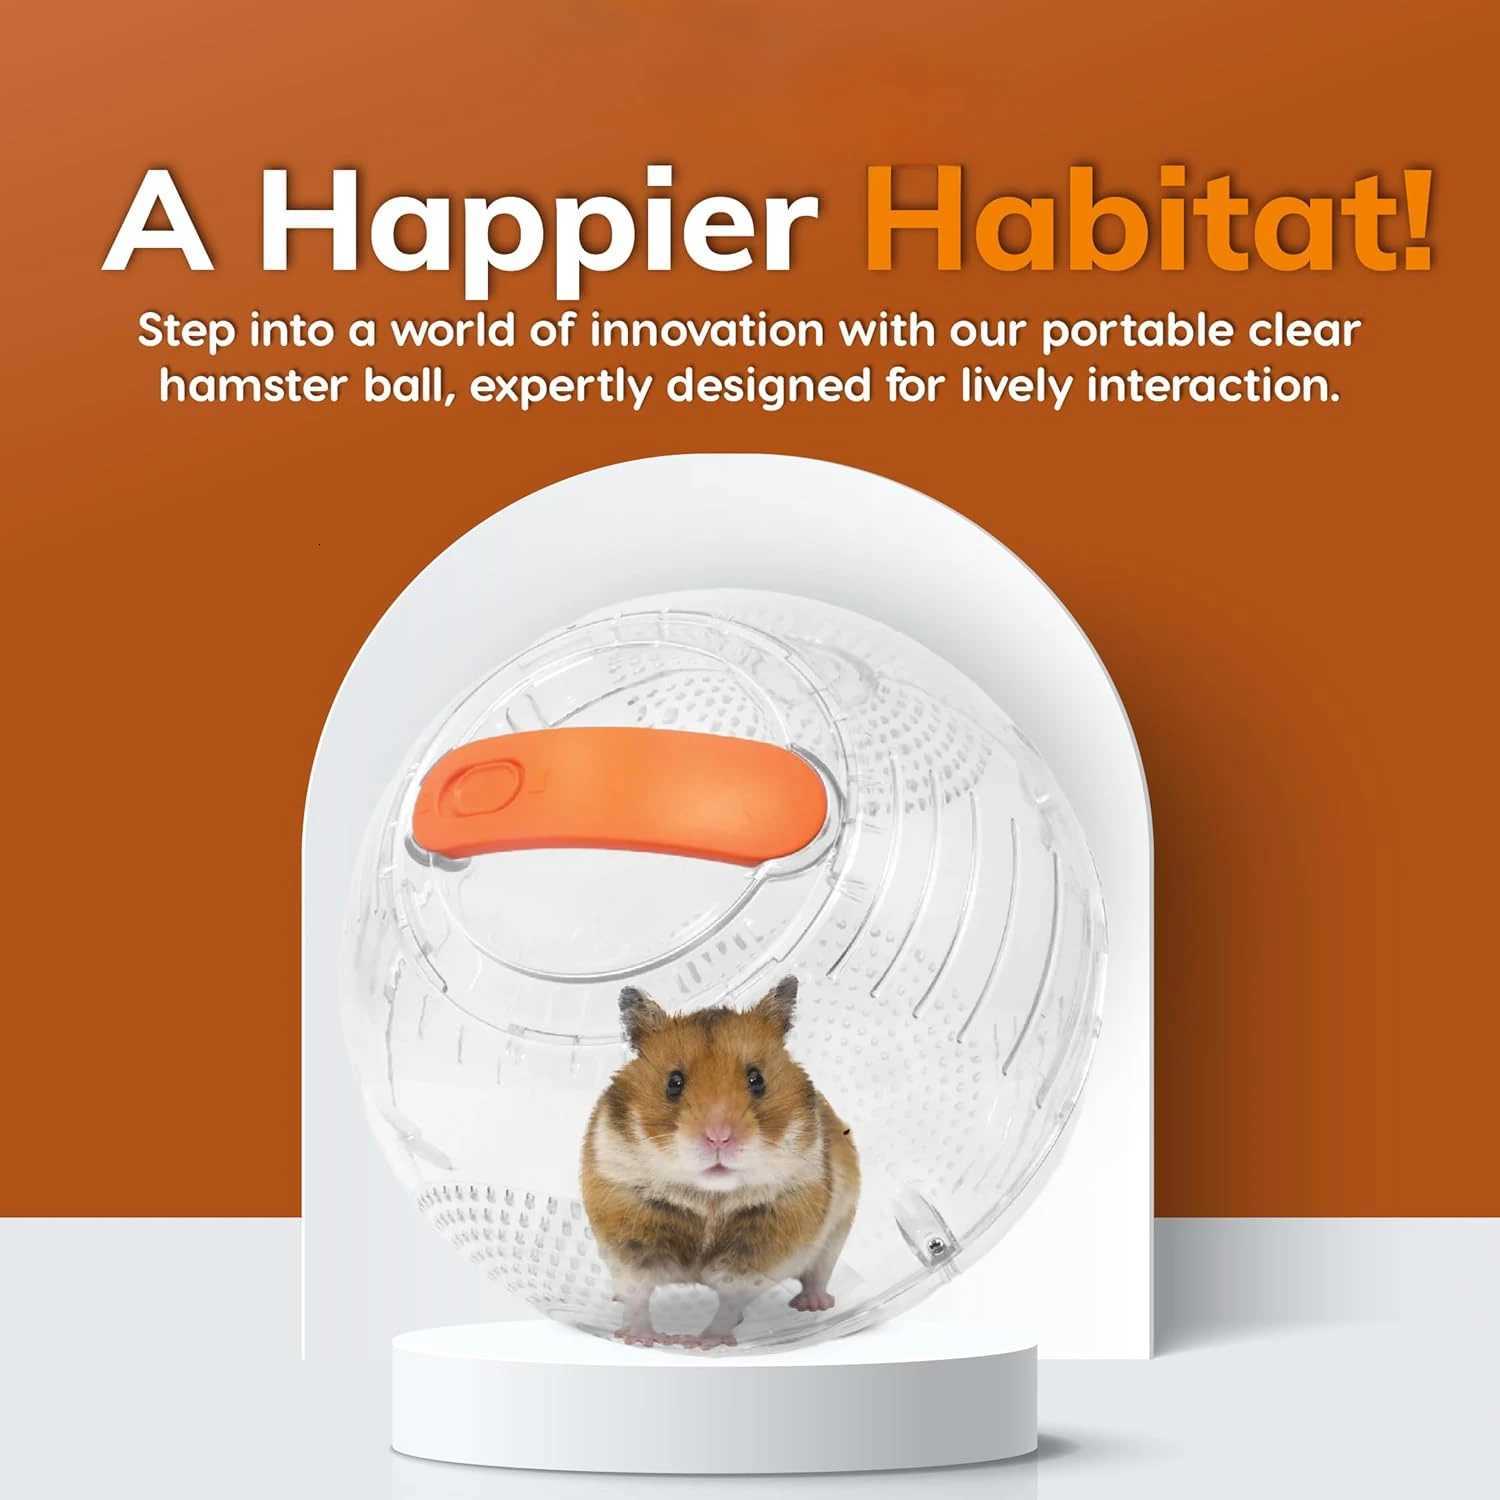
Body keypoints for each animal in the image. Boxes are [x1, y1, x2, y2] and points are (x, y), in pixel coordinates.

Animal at [580, 975, 860, 1348]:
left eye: (757, 1079)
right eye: (674, 1082)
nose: (718, 1138)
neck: (708, 1198)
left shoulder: (761, 1247)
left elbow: (730, 1301)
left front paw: (699, 1343)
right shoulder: (627, 1231)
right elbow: (638, 1294)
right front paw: (640, 1339)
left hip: (837, 1232)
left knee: (817, 1273)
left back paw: (814, 1305)